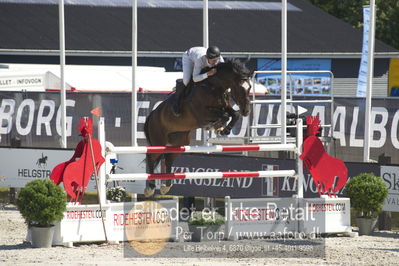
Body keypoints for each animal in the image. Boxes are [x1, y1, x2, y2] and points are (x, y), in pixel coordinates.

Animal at [144, 59, 253, 196]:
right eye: (240, 88)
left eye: (249, 88)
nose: (246, 111)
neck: (214, 87)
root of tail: (151, 115)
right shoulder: (203, 114)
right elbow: (224, 115)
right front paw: (216, 126)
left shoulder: (225, 106)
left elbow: (234, 114)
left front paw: (224, 130)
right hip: (158, 142)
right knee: (150, 157)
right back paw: (150, 188)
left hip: (180, 142)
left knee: (168, 159)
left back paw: (165, 187)